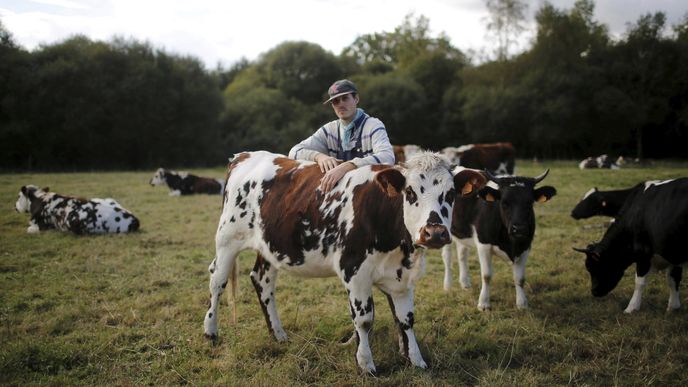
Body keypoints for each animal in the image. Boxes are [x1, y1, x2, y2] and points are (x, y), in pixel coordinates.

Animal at [202, 151, 486, 372]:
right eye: (410, 191)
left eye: (450, 194)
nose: (435, 233)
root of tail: (245, 156)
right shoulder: (355, 270)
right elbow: (364, 320)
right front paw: (366, 364)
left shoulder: (402, 277)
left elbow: (406, 319)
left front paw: (416, 361)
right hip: (227, 240)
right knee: (217, 281)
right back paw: (211, 331)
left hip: (270, 246)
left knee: (262, 281)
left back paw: (279, 335)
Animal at [440, 170, 560, 312]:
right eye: (504, 202)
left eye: (530, 203)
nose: (519, 228)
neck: (510, 243)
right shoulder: (483, 245)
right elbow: (486, 276)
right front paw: (484, 303)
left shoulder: (525, 247)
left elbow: (520, 278)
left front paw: (522, 303)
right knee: (447, 257)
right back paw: (448, 285)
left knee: (462, 254)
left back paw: (465, 283)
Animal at [572, 180, 684, 314]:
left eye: (591, 267)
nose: (594, 292)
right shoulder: (675, 253)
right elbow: (674, 279)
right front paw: (673, 307)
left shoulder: (643, 253)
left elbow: (640, 282)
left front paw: (632, 307)